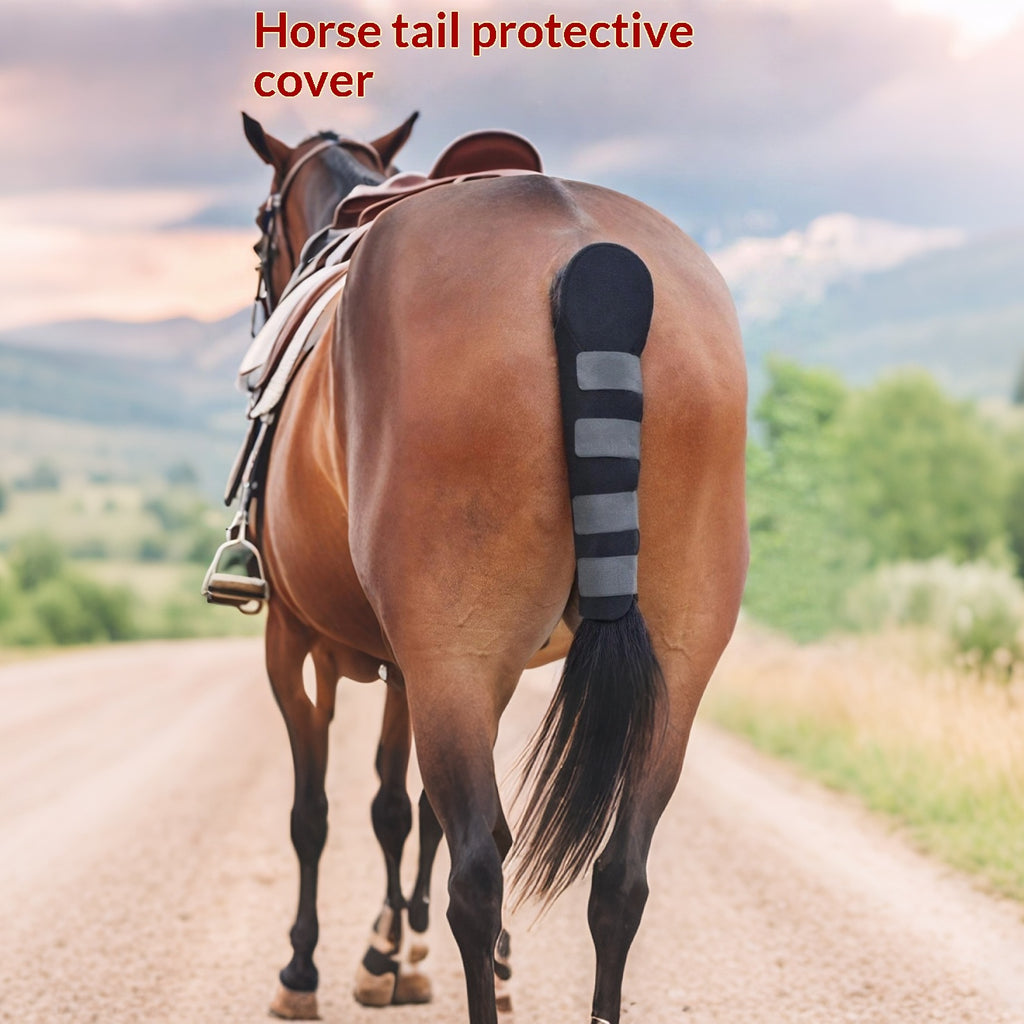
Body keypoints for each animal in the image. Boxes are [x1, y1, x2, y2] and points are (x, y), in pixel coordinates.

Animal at [240, 111, 748, 1024]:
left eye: (262, 229)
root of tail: (592, 257)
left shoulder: (300, 644)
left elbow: (320, 813)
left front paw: (310, 967)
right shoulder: (422, 665)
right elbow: (397, 806)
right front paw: (392, 950)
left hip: (451, 651)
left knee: (477, 870)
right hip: (674, 658)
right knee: (620, 877)